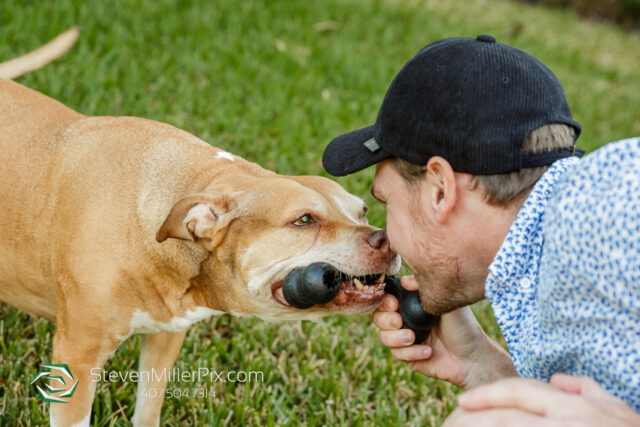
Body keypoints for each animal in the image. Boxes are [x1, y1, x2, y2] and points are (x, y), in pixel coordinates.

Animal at [1, 30, 400, 427]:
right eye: (303, 220)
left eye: (364, 211)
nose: (388, 240)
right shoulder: (78, 358)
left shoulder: (167, 336)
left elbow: (148, 407)